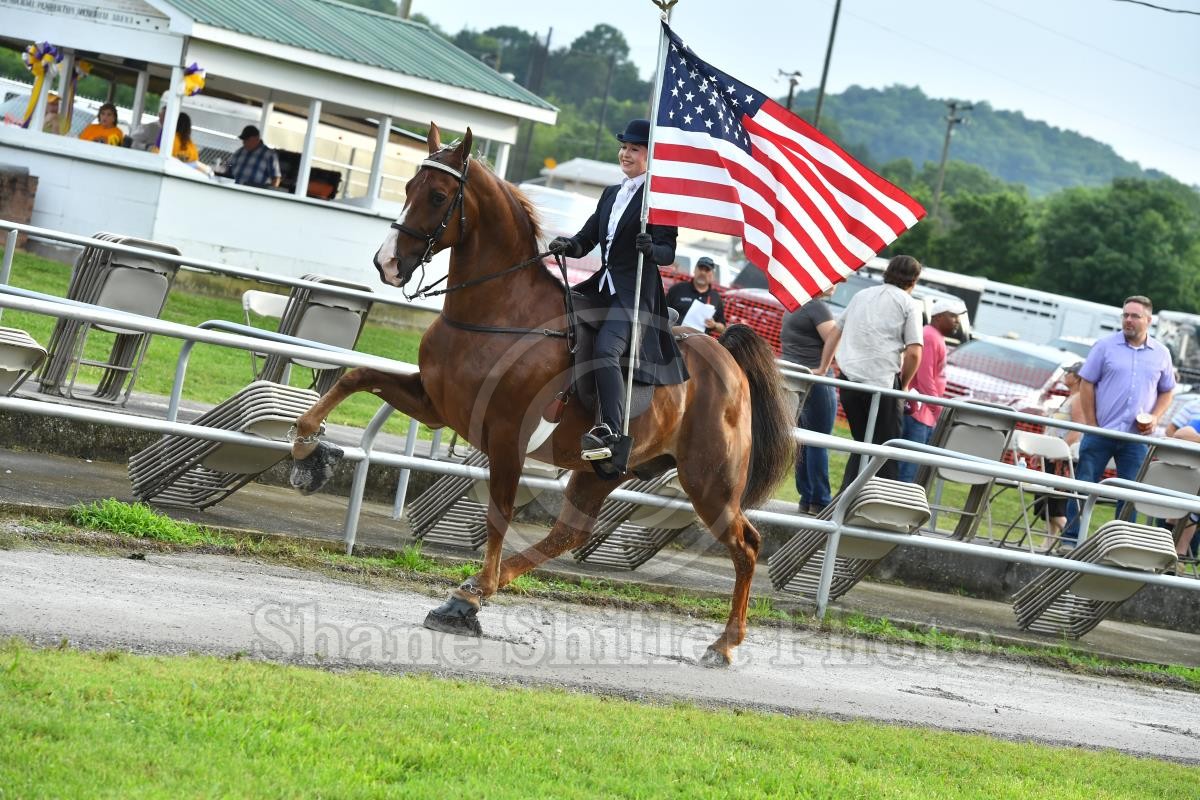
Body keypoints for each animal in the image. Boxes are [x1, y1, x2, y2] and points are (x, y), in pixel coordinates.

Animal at [288, 122, 794, 666]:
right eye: (407, 188)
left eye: (438, 196)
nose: (387, 264)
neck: (498, 310)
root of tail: (726, 359)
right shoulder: (435, 405)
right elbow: (355, 377)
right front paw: (307, 451)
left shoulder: (507, 436)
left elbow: (499, 513)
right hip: (606, 472)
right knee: (569, 532)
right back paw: (470, 594)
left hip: (709, 481)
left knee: (747, 545)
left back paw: (724, 644)